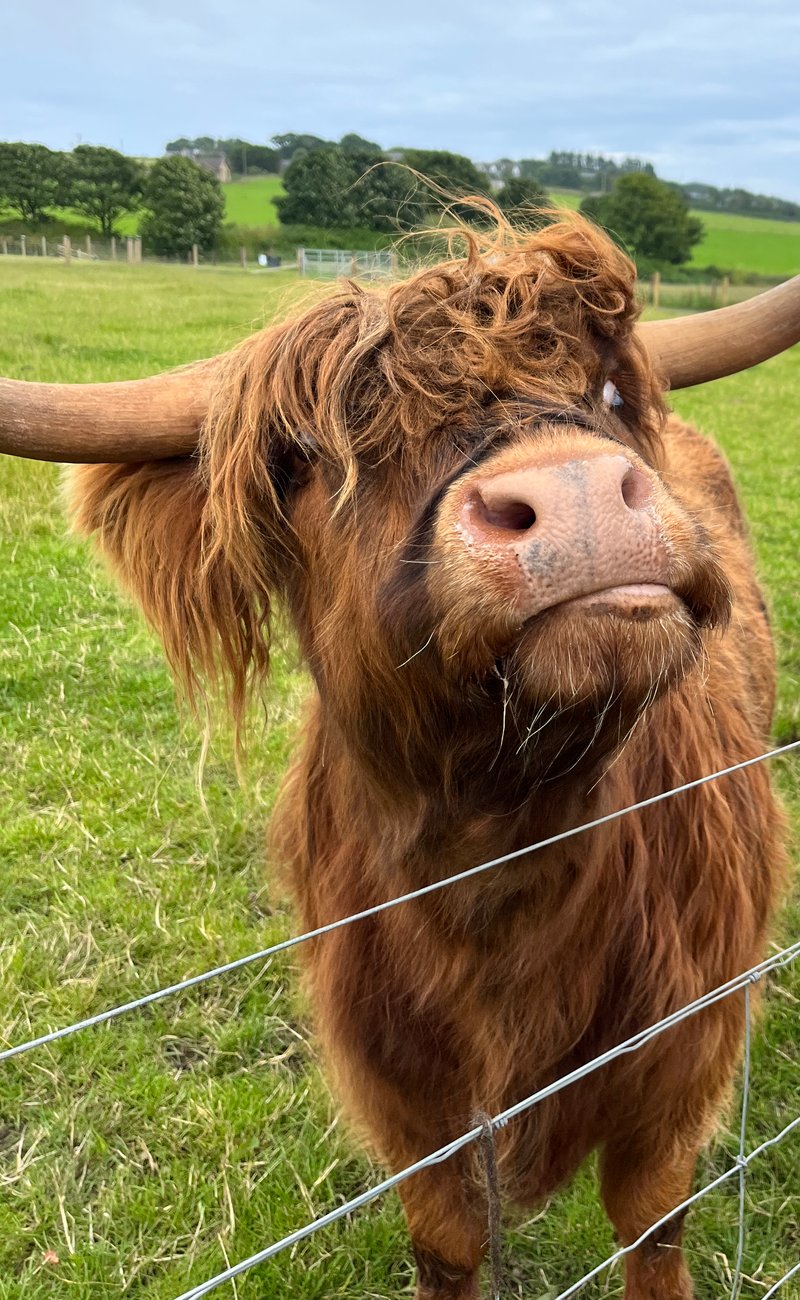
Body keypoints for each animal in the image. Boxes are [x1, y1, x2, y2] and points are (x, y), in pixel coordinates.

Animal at [2, 215, 798, 1300]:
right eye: (304, 459)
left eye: (604, 393)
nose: (577, 489)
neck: (500, 857)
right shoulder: (399, 1084)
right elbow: (447, 1239)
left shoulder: (685, 1046)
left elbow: (651, 1224)